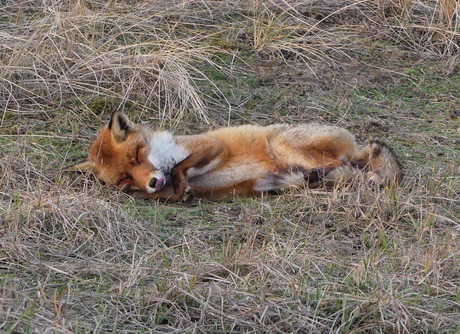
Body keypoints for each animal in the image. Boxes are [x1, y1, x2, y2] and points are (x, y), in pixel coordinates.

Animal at [69, 111, 402, 204]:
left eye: (138, 155)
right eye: (124, 179)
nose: (152, 182)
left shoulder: (212, 145)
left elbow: (180, 167)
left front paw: (179, 179)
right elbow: (176, 186)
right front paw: (181, 190)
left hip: (282, 145)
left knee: (345, 169)